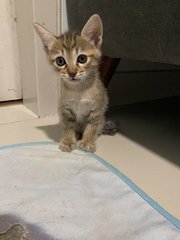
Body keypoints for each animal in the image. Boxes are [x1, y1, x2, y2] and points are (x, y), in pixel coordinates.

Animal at [34, 14, 117, 152]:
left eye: (82, 58)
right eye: (60, 61)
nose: (72, 73)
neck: (79, 90)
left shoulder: (96, 111)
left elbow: (91, 128)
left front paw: (87, 142)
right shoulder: (65, 109)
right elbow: (68, 127)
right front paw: (68, 141)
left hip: (101, 119)